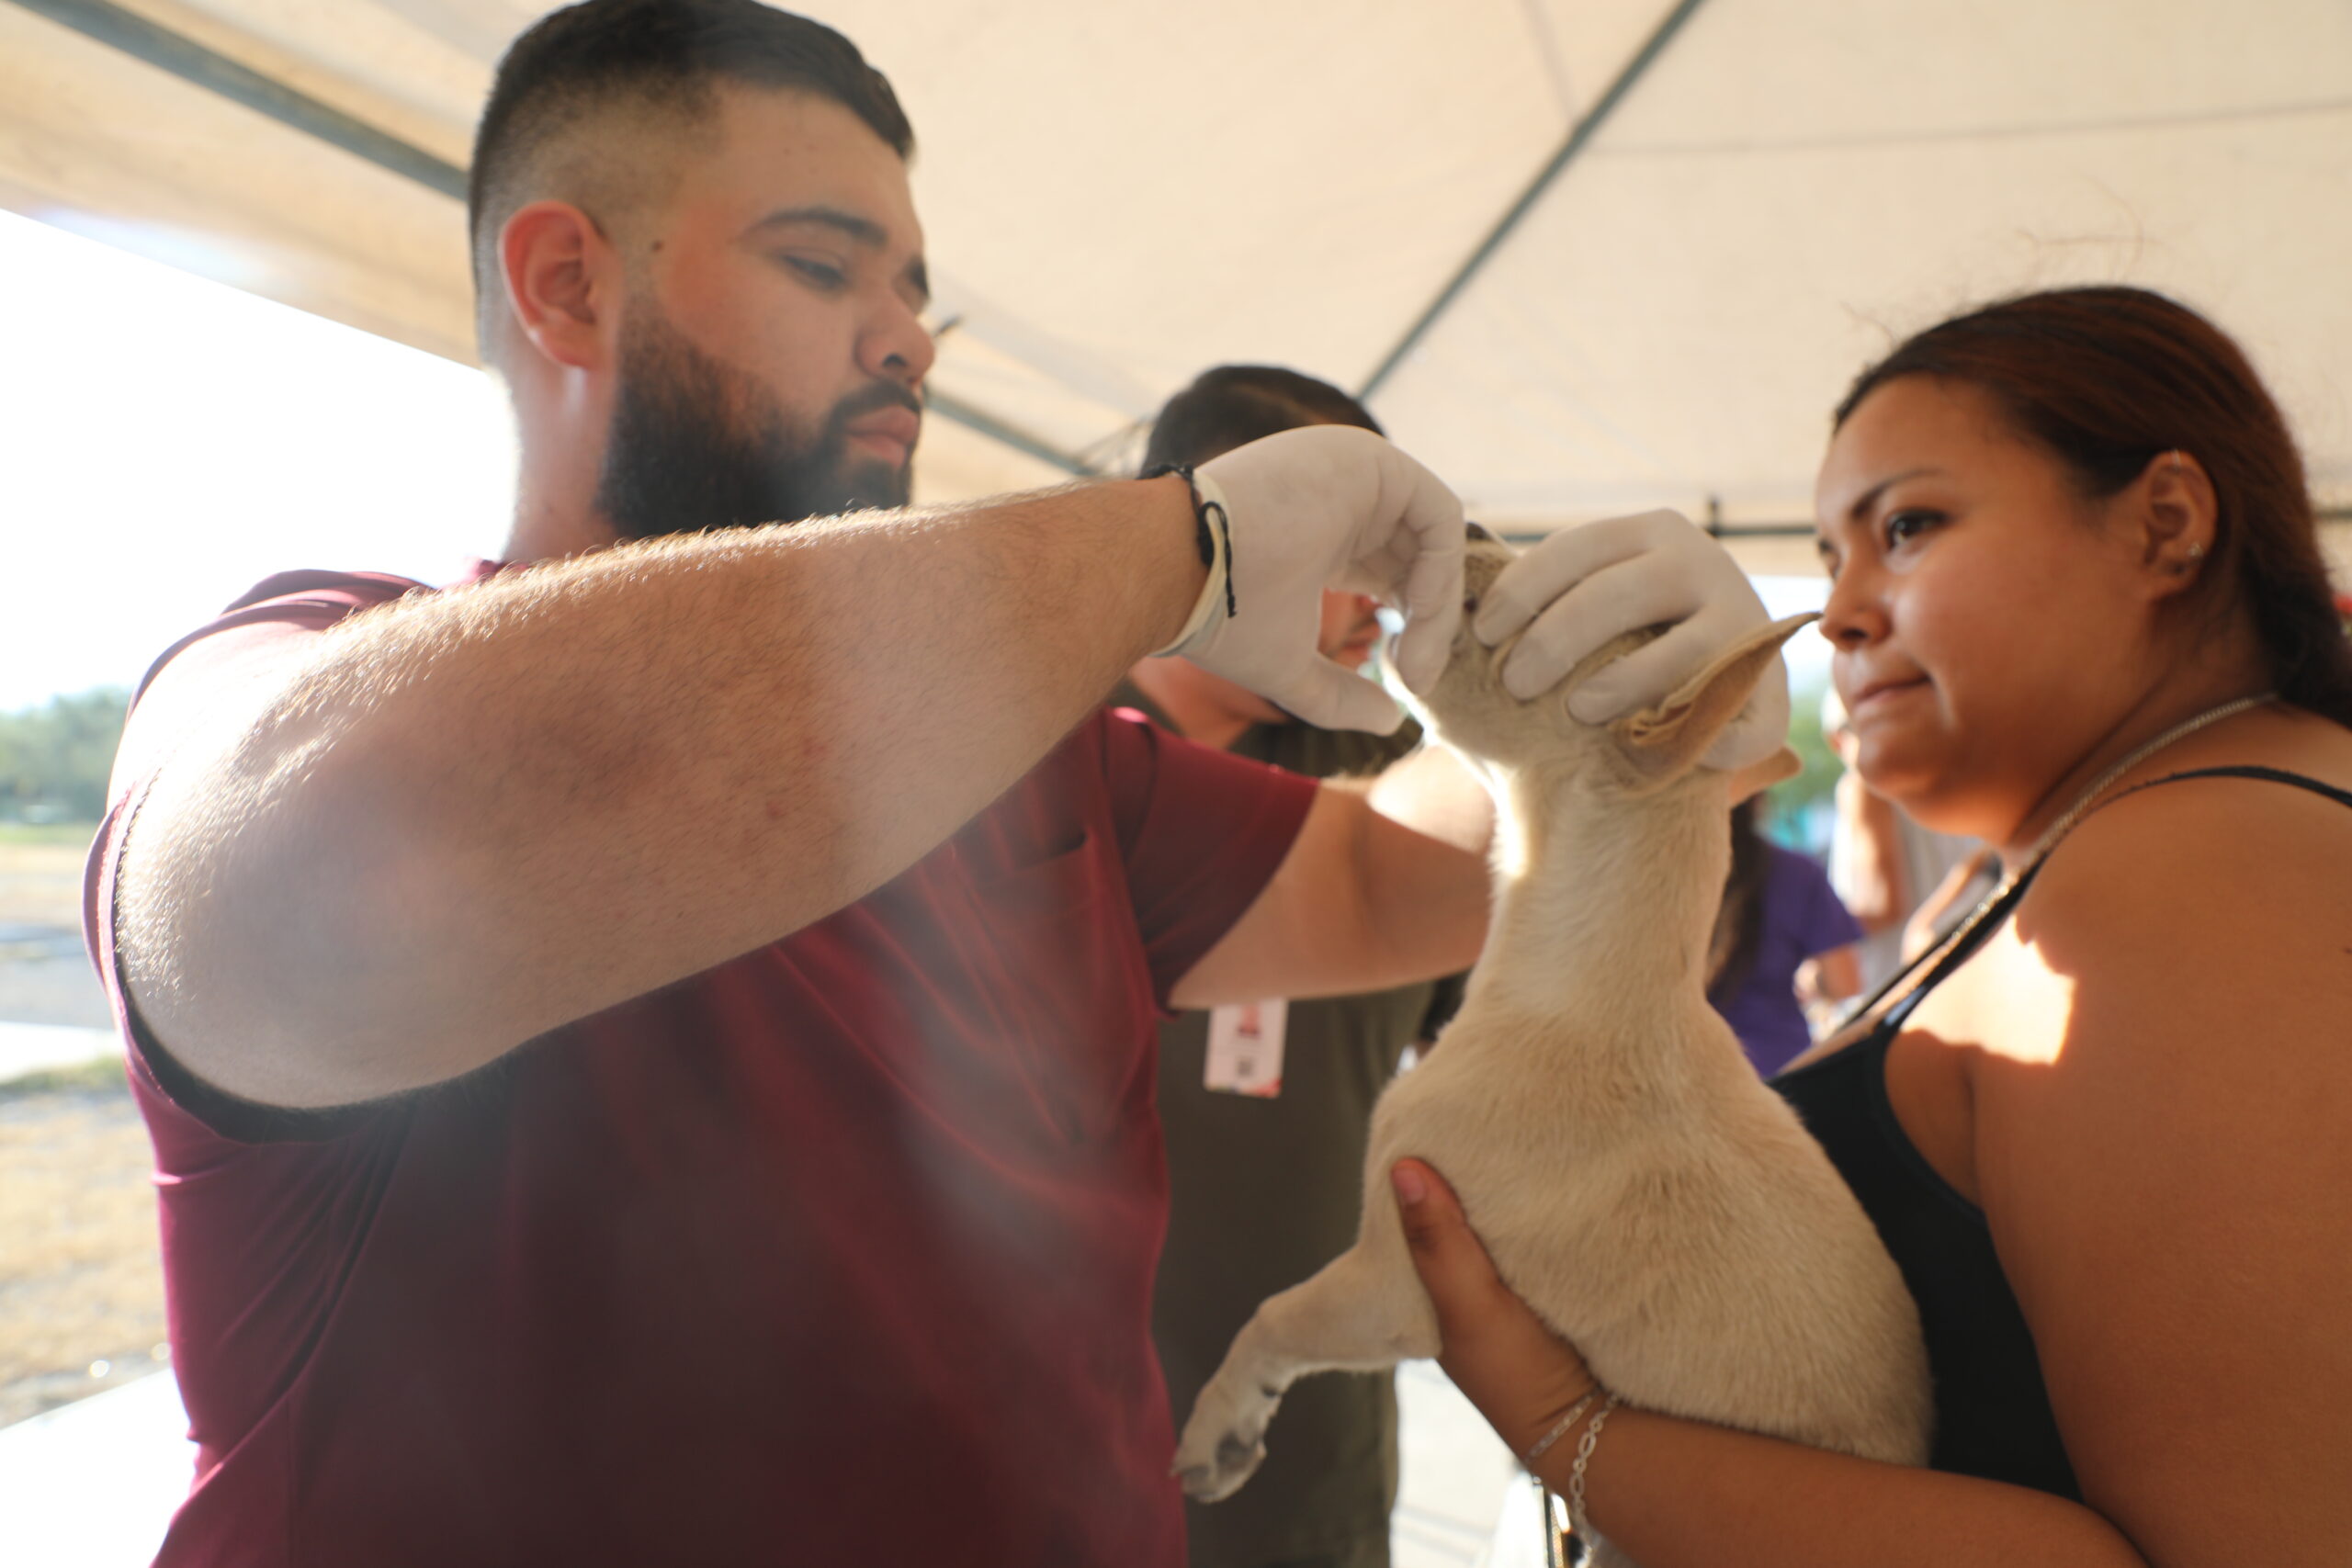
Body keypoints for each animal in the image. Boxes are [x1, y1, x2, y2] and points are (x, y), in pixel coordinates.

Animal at [1176, 540, 1928, 1568]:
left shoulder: (1390, 1283)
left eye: (1519, 616)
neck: (1592, 981)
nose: (1474, 533)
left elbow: (1275, 1314)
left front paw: (1219, 1423)